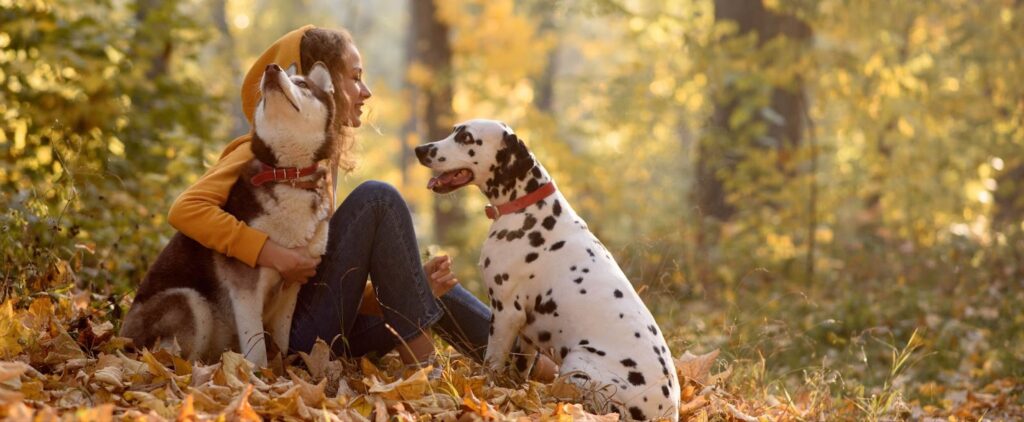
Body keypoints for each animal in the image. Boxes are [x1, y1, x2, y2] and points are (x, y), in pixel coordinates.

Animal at [120, 62, 335, 366]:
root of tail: (119, 338)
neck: (288, 176)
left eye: (303, 84)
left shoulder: (292, 286)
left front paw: (284, 369)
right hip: (189, 302)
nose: (271, 68)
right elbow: (256, 349)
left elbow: (282, 341)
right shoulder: (245, 289)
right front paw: (258, 374)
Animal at [411, 120, 684, 419]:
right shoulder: (526, 333)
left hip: (578, 364)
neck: (526, 207)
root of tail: (667, 412)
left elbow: (491, 365)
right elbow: (518, 373)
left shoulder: (506, 313)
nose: (420, 150)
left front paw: (485, 391)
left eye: (466, 137)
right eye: (453, 130)